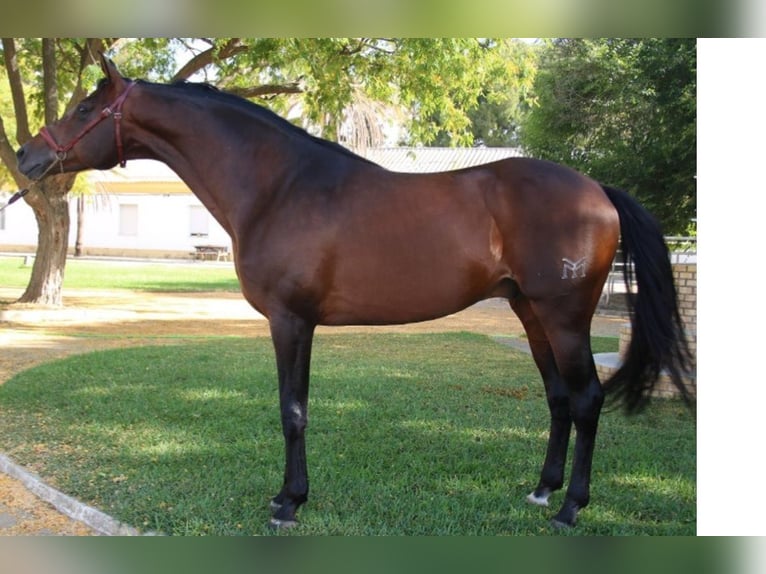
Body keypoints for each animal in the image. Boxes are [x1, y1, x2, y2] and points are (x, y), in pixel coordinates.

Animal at [16, 57, 696, 532]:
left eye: (85, 108)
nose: (25, 157)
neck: (279, 185)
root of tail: (597, 190)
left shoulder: (291, 320)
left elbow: (292, 411)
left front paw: (289, 503)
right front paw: (289, 495)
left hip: (565, 317)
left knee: (585, 400)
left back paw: (570, 509)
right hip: (530, 313)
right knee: (558, 399)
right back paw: (541, 490)